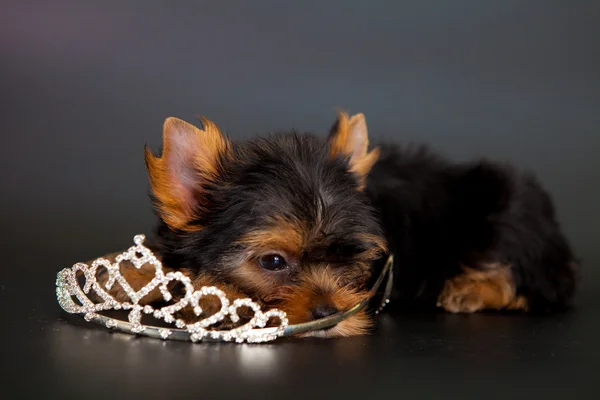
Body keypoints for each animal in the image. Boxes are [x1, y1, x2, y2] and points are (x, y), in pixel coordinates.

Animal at [101, 111, 580, 338]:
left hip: (508, 207)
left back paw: (472, 289)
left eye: (354, 260)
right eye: (273, 262)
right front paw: (125, 275)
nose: (329, 313)